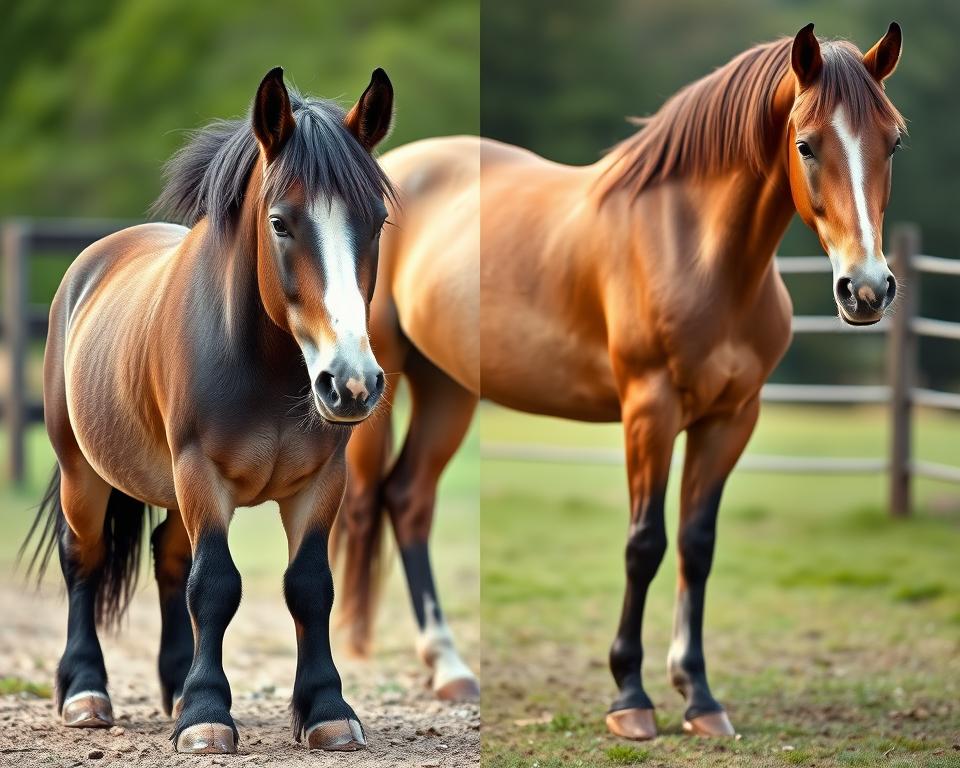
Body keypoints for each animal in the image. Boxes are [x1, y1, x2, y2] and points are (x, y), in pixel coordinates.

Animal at [22, 66, 397, 755]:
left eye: (377, 221)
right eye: (280, 222)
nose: (351, 384)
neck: (266, 368)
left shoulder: (320, 482)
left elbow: (309, 587)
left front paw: (325, 709)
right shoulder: (203, 474)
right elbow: (216, 585)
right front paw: (205, 716)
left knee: (170, 561)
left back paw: (173, 687)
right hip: (82, 473)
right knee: (83, 560)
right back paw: (86, 691)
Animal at [341, 22, 905, 739]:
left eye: (893, 140)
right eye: (806, 144)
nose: (866, 289)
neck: (700, 254)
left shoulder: (731, 419)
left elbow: (696, 544)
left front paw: (699, 696)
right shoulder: (649, 411)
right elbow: (645, 544)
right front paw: (630, 698)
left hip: (449, 388)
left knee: (408, 498)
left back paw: (450, 668)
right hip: (378, 387)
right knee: (367, 501)